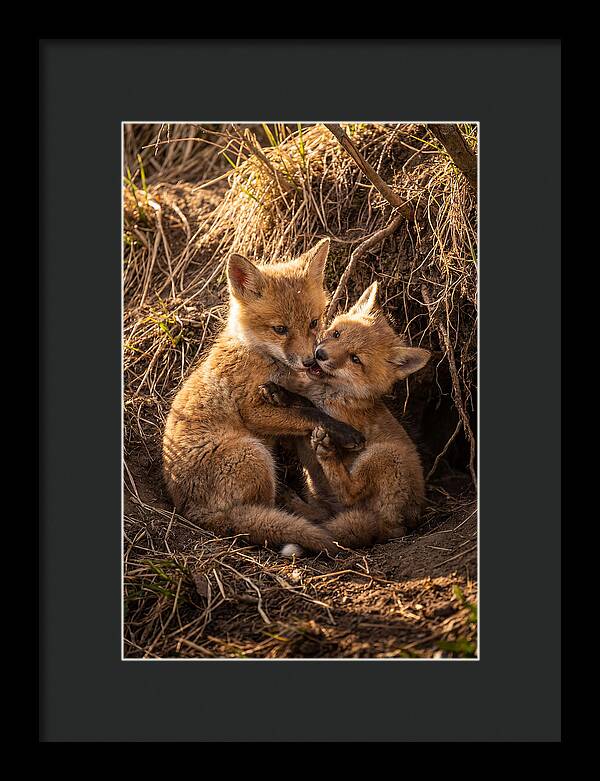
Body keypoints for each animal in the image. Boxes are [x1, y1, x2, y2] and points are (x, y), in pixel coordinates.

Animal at [162, 238, 365, 554]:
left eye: (313, 322)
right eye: (280, 329)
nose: (310, 361)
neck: (258, 355)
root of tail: (190, 511)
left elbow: (304, 403)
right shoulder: (252, 410)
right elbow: (309, 413)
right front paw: (345, 432)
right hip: (254, 454)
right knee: (264, 512)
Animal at [260, 281, 431, 556]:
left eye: (355, 359)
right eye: (337, 334)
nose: (320, 354)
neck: (329, 392)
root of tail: (400, 526)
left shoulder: (338, 421)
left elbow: (311, 408)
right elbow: (301, 403)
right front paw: (280, 392)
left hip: (383, 455)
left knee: (350, 492)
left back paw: (327, 454)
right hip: (323, 495)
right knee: (324, 515)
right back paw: (294, 502)